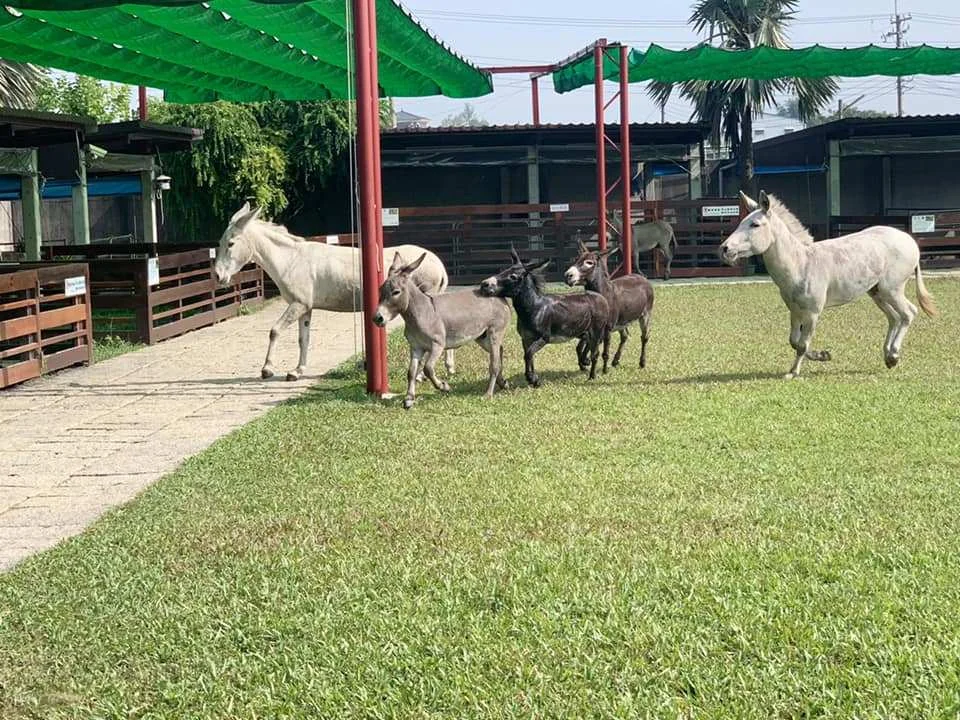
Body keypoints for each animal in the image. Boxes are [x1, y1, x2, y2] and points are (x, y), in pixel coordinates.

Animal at [374, 253, 512, 410]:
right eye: (380, 291)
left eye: (396, 292)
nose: (377, 318)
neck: (422, 311)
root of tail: (499, 296)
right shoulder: (416, 347)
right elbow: (411, 372)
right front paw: (409, 399)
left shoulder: (437, 345)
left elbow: (427, 368)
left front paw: (444, 386)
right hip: (482, 337)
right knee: (500, 350)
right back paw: (502, 383)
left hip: (495, 332)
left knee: (494, 363)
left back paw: (488, 394)